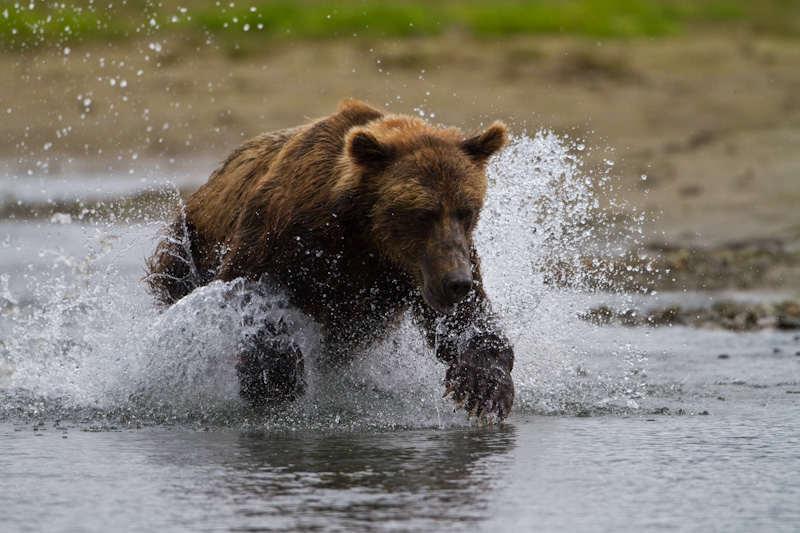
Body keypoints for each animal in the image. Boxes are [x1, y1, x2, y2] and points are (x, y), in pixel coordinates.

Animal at [146, 97, 516, 418]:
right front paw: (275, 379)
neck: (366, 234)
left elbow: (466, 322)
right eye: (423, 213)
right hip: (187, 245)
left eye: (467, 210)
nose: (456, 283)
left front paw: (484, 385)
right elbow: (249, 291)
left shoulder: (423, 266)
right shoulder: (284, 233)